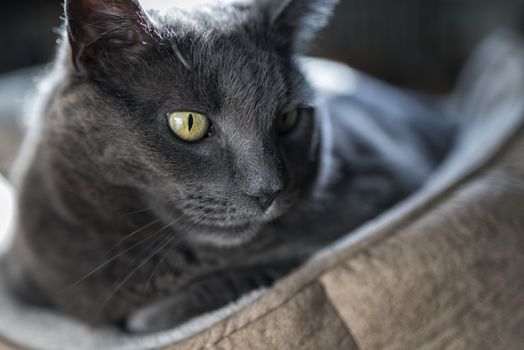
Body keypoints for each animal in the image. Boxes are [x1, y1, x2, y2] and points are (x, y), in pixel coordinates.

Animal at [2, 0, 454, 334]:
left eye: (288, 119)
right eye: (188, 123)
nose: (267, 190)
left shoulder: (382, 187)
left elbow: (275, 264)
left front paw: (150, 315)